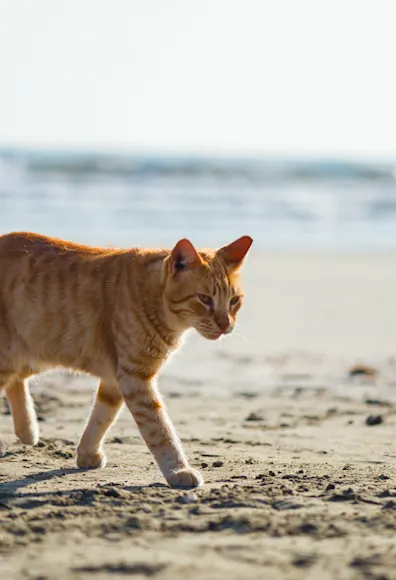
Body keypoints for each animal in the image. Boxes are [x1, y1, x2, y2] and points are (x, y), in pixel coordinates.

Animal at [0, 233, 252, 488]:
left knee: (16, 382)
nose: (225, 324)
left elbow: (102, 417)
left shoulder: (116, 380)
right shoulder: (135, 378)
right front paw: (178, 470)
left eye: (234, 301)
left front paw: (87, 453)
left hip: (34, 355)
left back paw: (27, 430)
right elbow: (160, 430)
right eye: (204, 299)